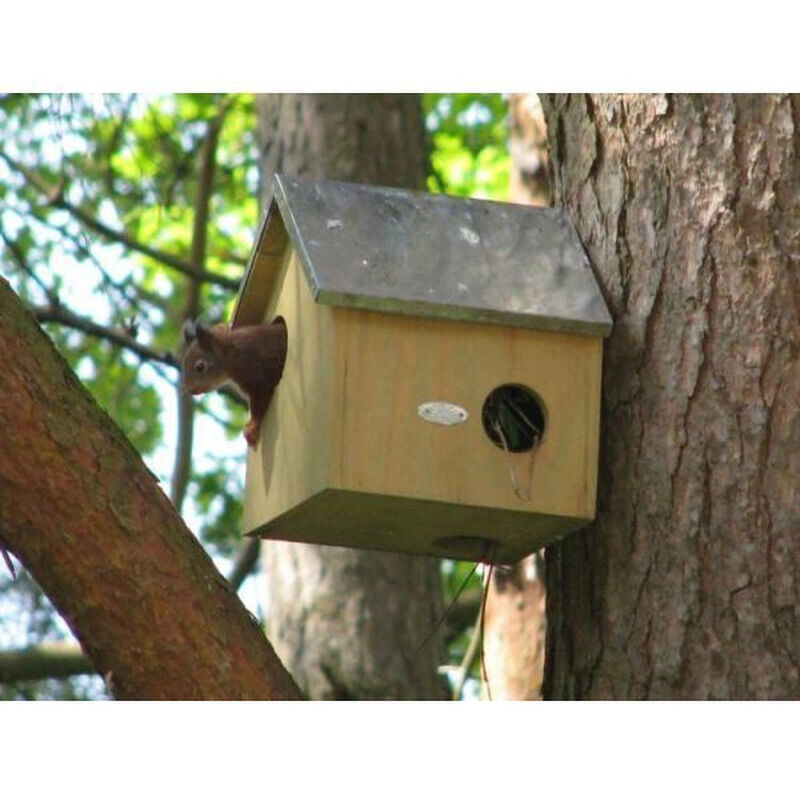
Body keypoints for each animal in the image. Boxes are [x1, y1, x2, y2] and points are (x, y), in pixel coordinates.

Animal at [180, 317, 288, 448]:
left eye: (200, 367)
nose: (190, 390)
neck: (230, 355)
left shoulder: (259, 376)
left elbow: (260, 402)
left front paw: (252, 428)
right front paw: (249, 424)